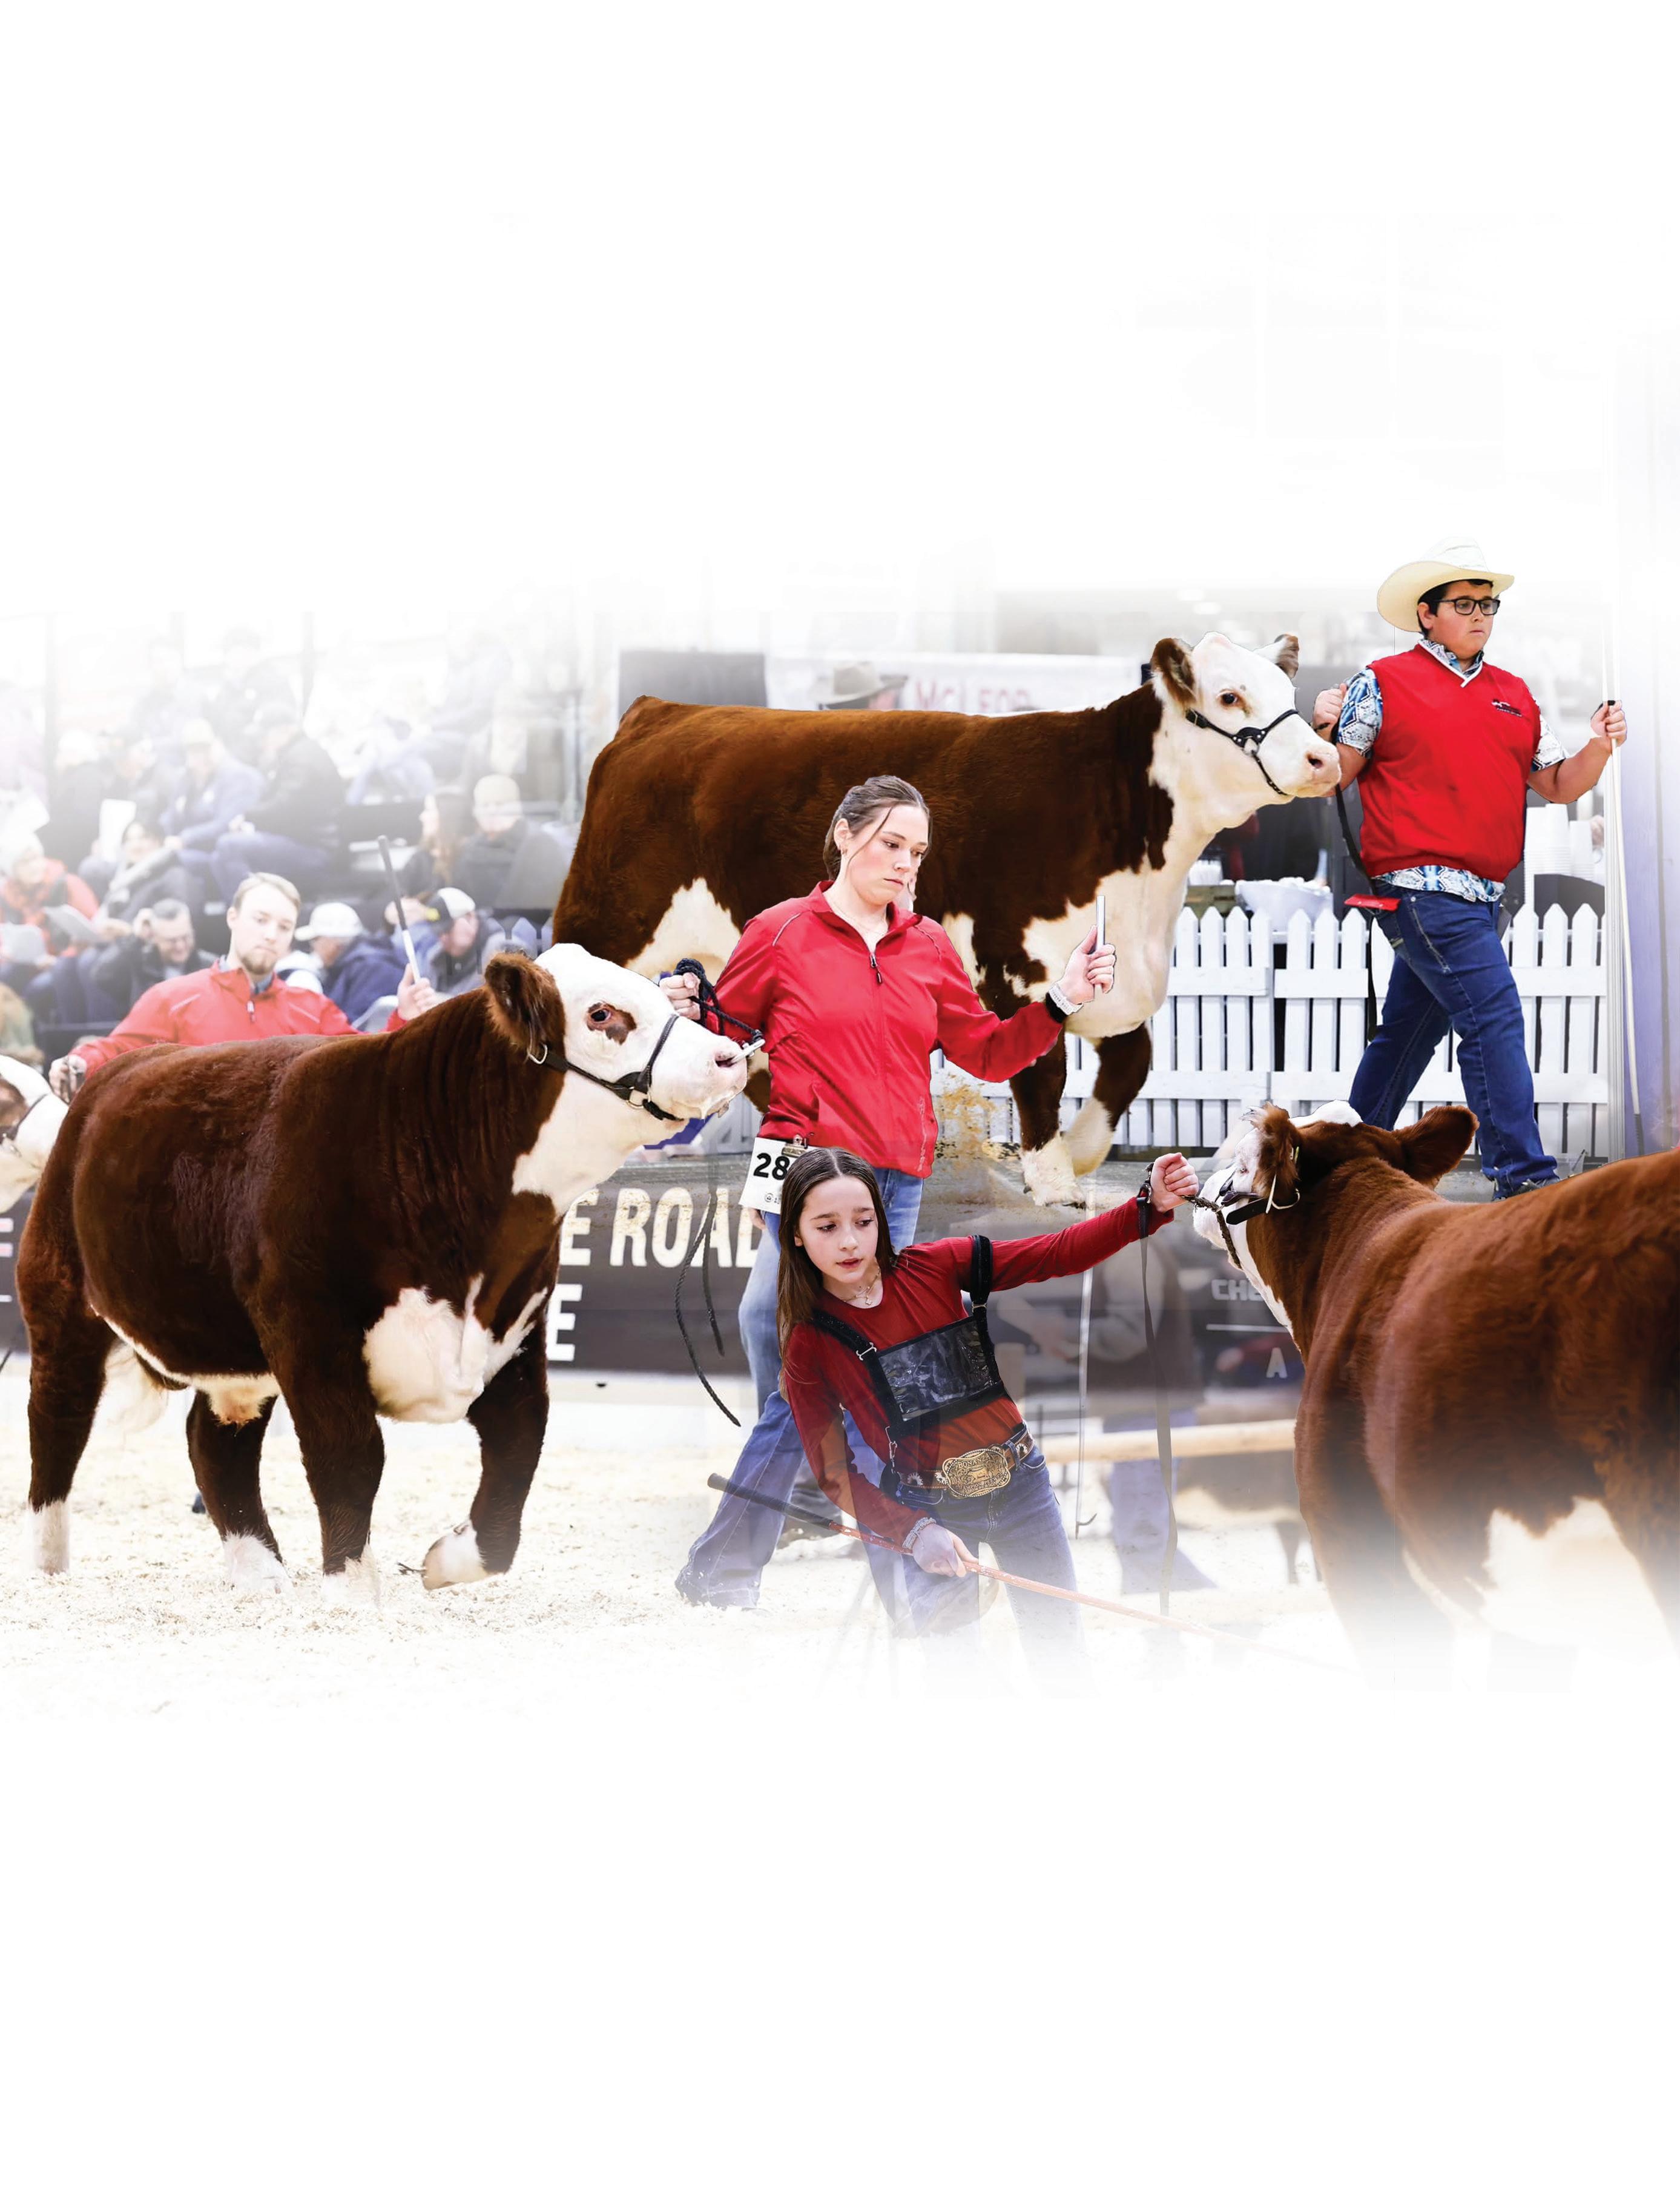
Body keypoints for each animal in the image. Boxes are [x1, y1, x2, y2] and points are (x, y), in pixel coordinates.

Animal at [18, 947, 749, 1600]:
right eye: (602, 1013)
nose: (729, 1056)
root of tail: (120, 1068)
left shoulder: (516, 1328)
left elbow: (519, 1449)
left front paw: (448, 1561)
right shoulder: (310, 1327)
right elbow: (349, 1455)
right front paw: (351, 1591)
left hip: (233, 1350)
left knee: (216, 1440)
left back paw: (259, 1571)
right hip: (60, 1302)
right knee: (57, 1419)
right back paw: (48, 1565)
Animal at [553, 635, 1338, 1205]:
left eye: (1288, 692)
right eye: (1229, 695)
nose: (1323, 756)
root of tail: (662, 711)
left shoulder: (1112, 973)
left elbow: (1130, 1063)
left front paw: (1080, 1154)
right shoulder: (1015, 964)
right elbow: (1043, 1071)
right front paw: (1052, 1179)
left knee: (753, 1059)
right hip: (608, 922)